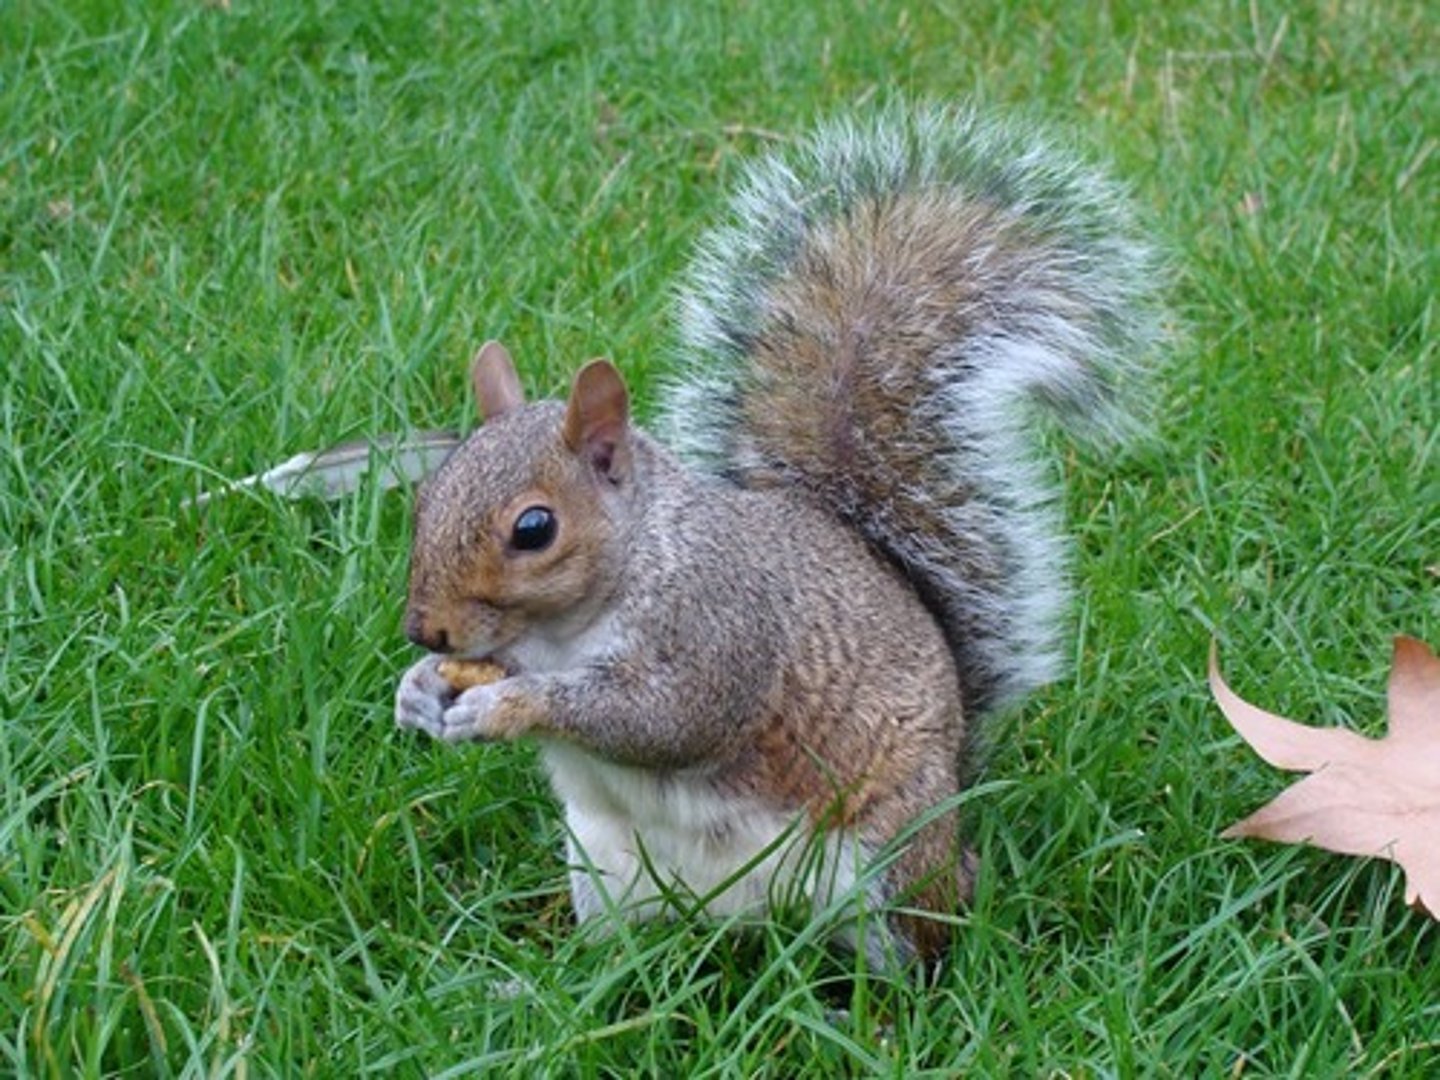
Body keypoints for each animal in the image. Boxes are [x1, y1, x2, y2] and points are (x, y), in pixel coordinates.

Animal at [394, 104, 1162, 964]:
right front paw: (417, 692)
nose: (424, 630)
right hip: (604, 870)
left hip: (887, 865)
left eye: (534, 528)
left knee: (916, 949)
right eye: (427, 494)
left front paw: (509, 705)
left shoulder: (723, 630)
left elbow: (666, 718)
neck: (565, 629)